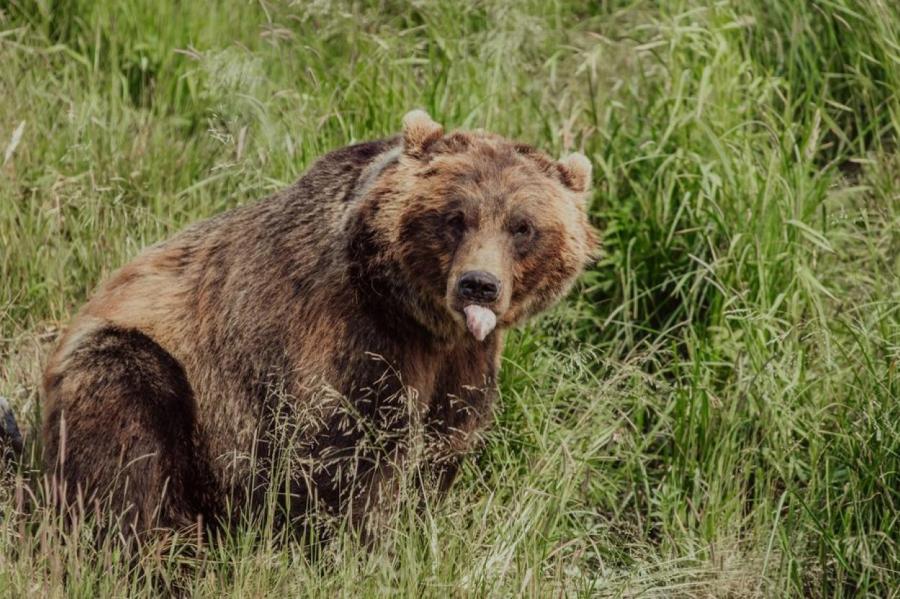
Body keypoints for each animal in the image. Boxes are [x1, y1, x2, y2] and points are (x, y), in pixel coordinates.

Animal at [40, 110, 596, 540]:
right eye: (454, 216)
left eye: (522, 227)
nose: (478, 284)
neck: (424, 323)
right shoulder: (350, 340)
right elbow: (347, 458)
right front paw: (358, 545)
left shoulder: (464, 363)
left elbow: (443, 446)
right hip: (155, 369)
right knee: (127, 440)